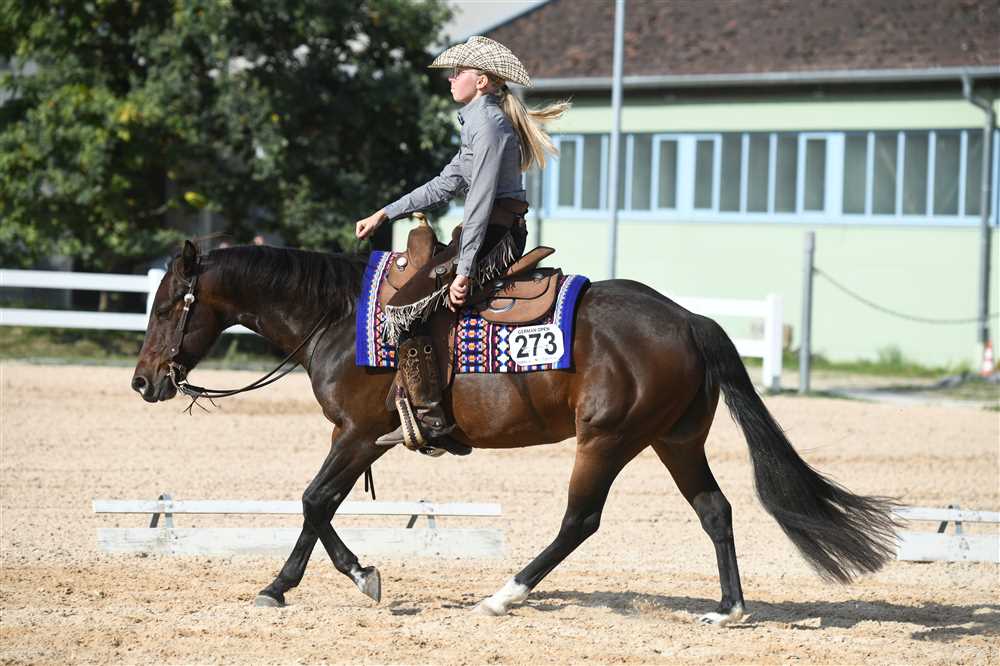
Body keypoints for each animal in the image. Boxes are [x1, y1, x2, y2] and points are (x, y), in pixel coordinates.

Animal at [131, 240, 897, 625]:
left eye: (168, 305)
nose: (143, 382)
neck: (340, 317)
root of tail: (688, 319)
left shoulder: (356, 434)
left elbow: (314, 502)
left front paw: (330, 581)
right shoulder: (362, 440)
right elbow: (320, 507)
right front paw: (306, 581)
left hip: (606, 441)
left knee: (580, 520)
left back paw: (505, 594)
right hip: (674, 441)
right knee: (716, 510)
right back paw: (729, 608)